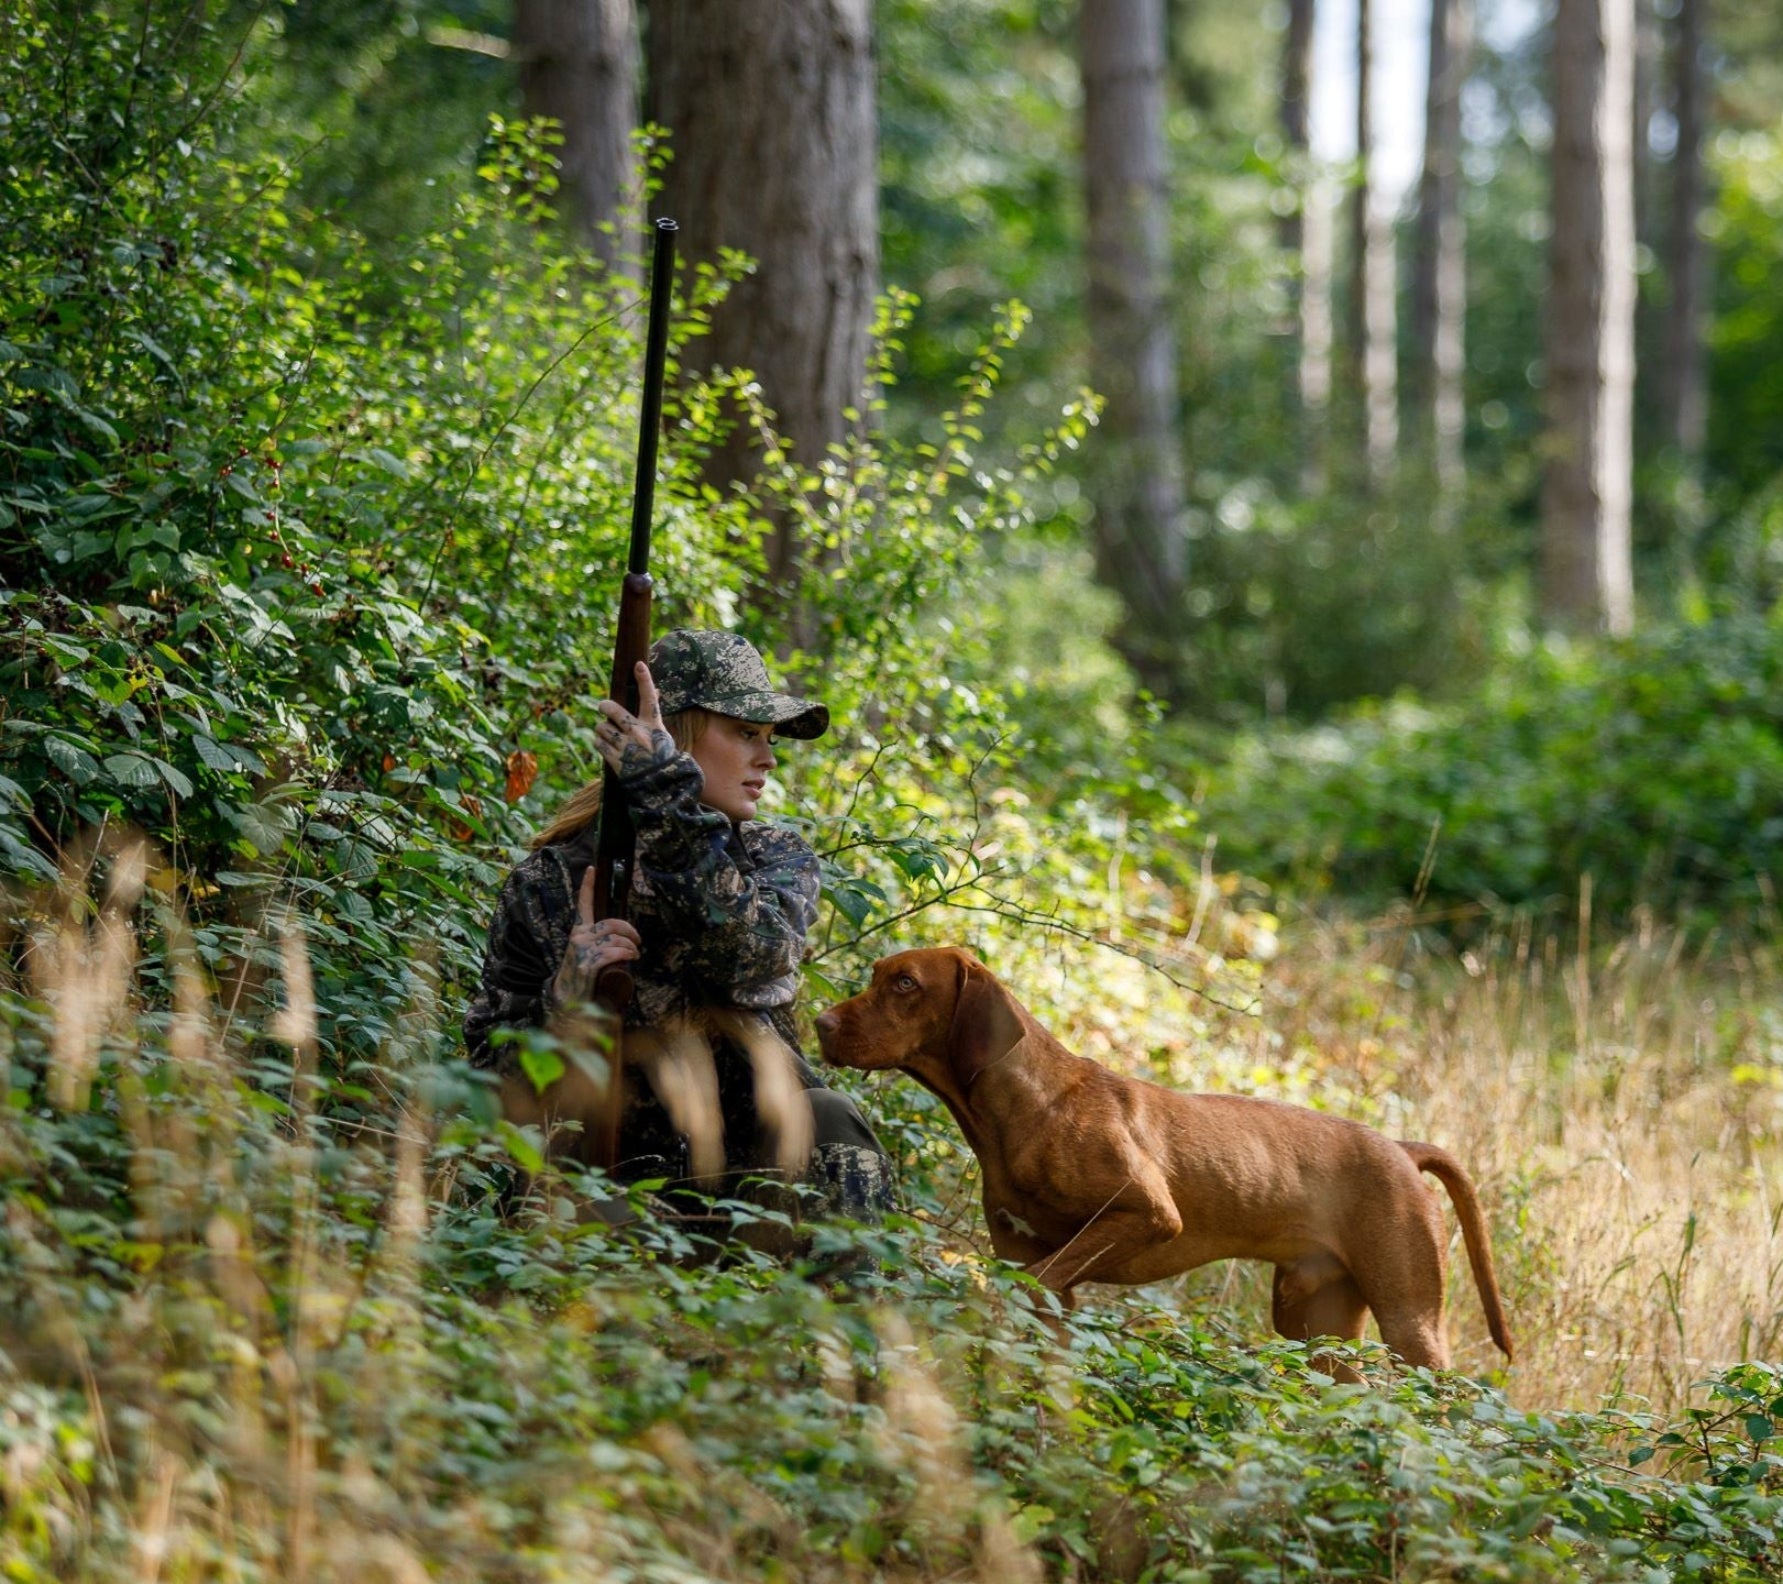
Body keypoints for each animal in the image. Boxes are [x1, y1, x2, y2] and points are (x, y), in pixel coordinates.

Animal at [816, 948, 1511, 1369]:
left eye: (906, 984)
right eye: (876, 974)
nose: (819, 1023)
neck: (1027, 1109)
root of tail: (1401, 1148)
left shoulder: (1146, 1215)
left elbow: (1026, 1284)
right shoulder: (1027, 1255)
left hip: (1410, 1319)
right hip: (1314, 1320)